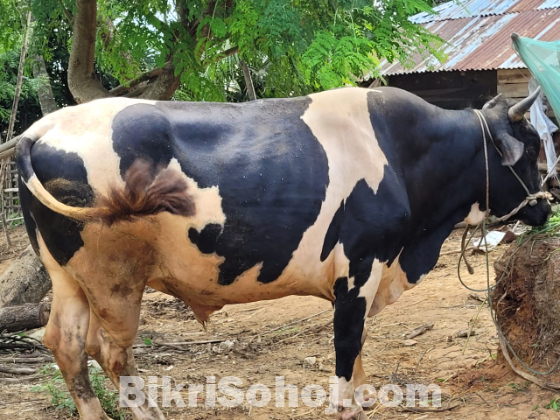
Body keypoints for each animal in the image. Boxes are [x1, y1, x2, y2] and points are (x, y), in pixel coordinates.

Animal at [15, 86, 548, 420]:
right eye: (533, 148)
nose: (547, 205)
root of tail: (39, 129)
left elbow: (358, 343)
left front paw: (364, 398)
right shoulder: (360, 265)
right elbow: (347, 340)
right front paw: (345, 406)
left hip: (67, 276)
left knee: (65, 343)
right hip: (115, 279)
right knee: (110, 351)